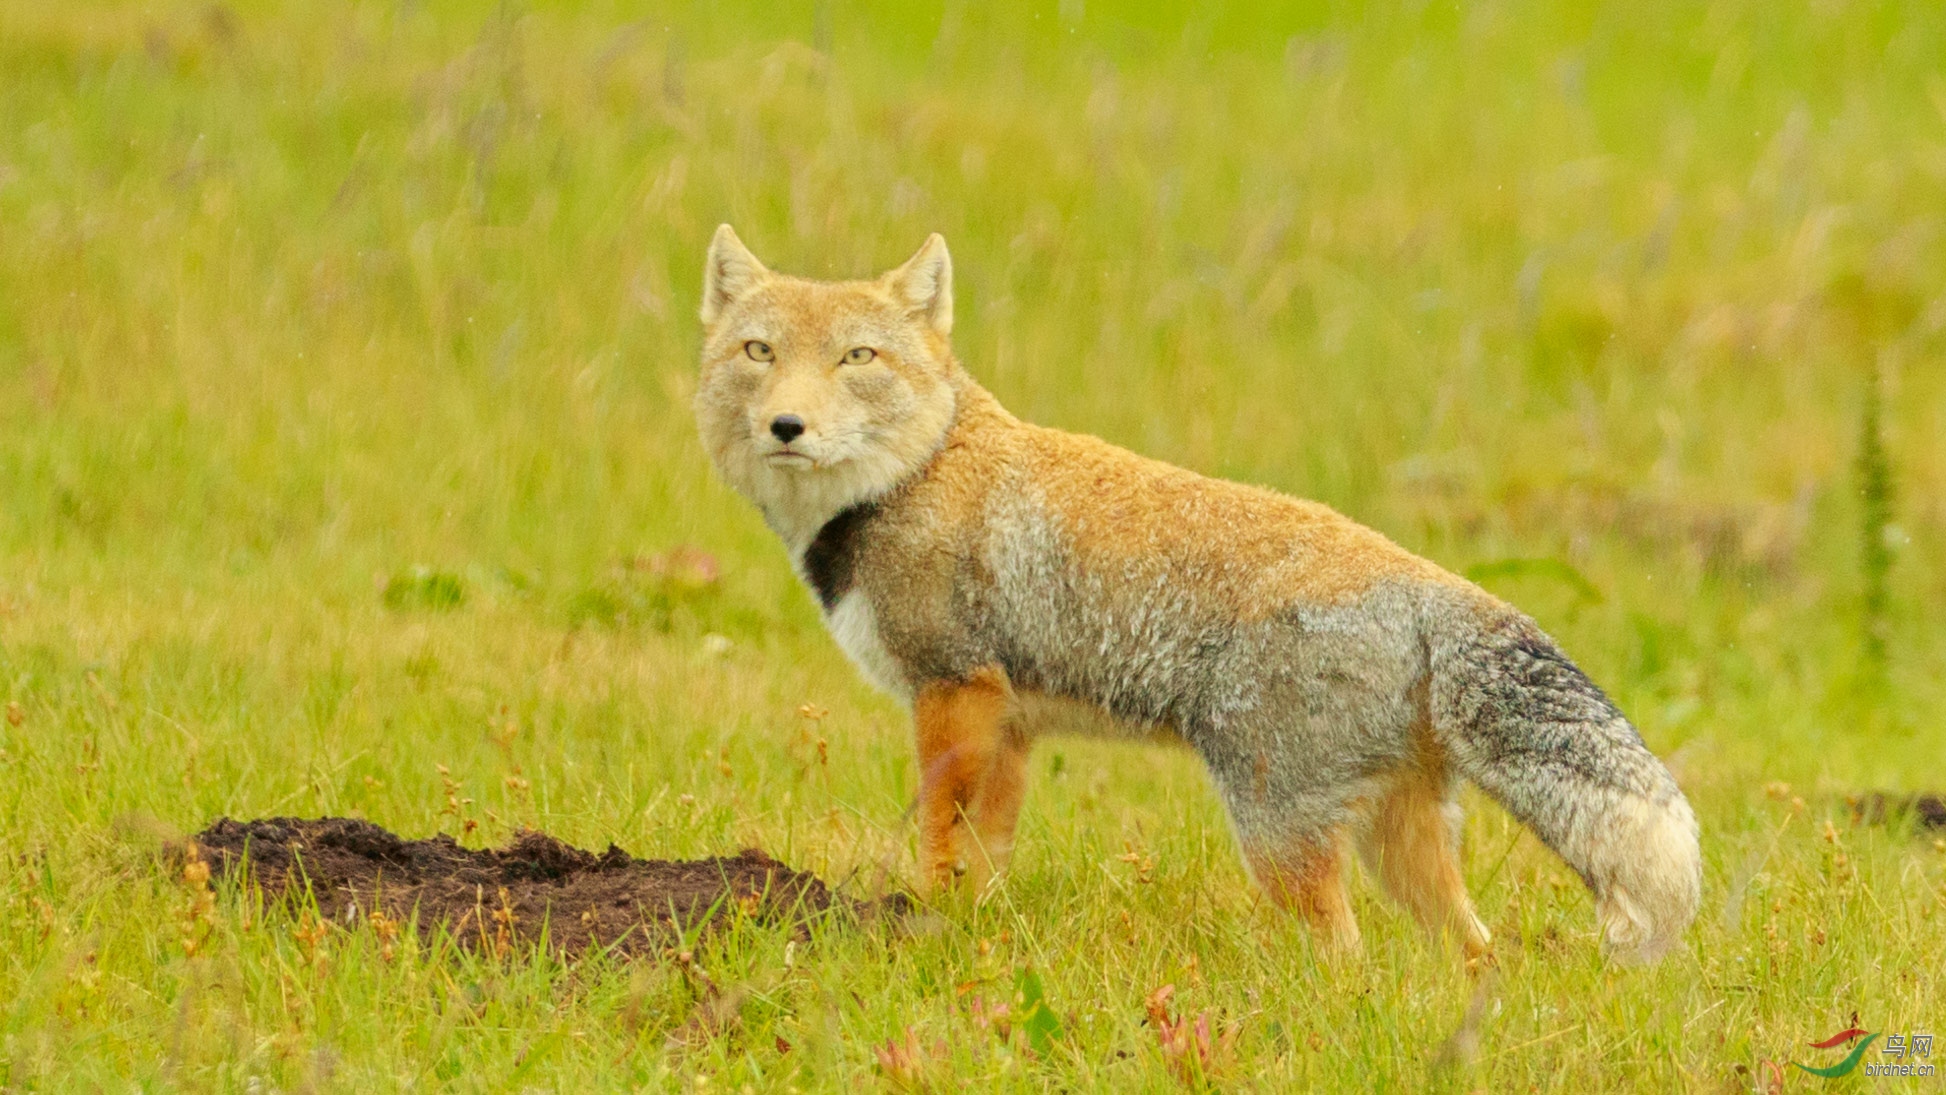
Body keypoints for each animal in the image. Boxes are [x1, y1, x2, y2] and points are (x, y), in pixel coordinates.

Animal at [692, 227, 1696, 964]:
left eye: (858, 356)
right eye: (759, 351)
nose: (787, 425)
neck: (920, 471)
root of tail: (1435, 584)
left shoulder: (953, 690)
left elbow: (942, 842)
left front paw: (924, 934)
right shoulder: (1009, 724)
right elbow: (985, 860)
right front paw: (970, 936)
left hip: (1278, 833)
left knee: (1347, 956)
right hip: (1398, 846)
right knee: (1475, 952)